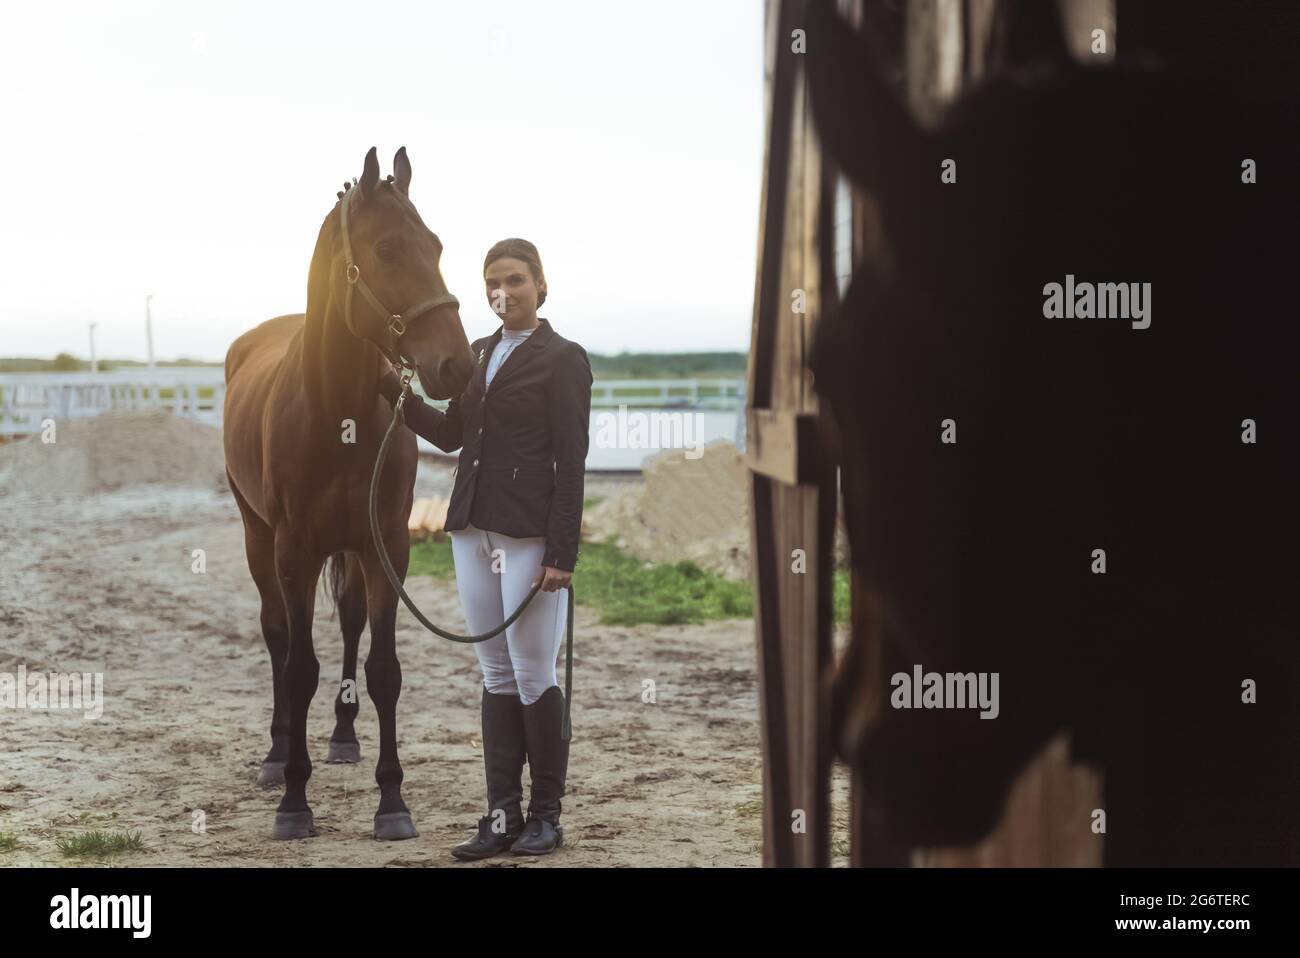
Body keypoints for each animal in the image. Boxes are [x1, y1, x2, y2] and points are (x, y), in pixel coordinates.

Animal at [223, 146, 475, 840]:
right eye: (387, 248)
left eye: (437, 245)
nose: (458, 367)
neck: (336, 413)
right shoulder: (294, 553)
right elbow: (298, 666)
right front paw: (293, 799)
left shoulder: (387, 545)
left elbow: (383, 669)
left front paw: (392, 802)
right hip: (258, 538)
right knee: (277, 636)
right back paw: (276, 752)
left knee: (352, 626)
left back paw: (342, 737)